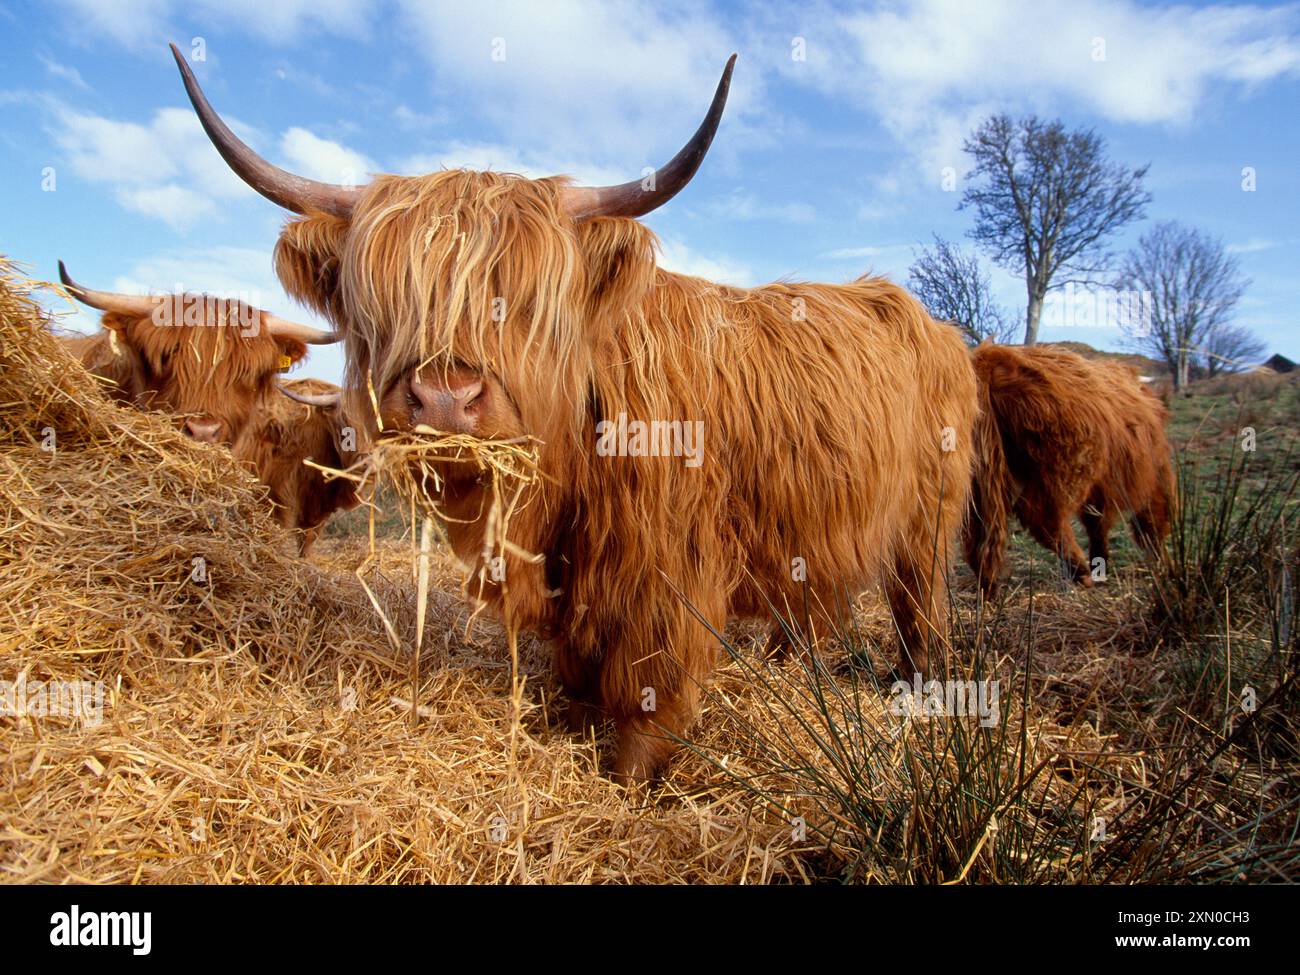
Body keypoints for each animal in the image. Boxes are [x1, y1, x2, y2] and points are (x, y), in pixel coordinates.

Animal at [967, 343, 1180, 603]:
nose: (1167, 566)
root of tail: (992, 357)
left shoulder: (1101, 488)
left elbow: (1097, 522)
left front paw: (1102, 562)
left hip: (980, 479)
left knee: (983, 531)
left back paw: (989, 586)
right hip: (1066, 470)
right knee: (1043, 518)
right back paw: (1081, 572)